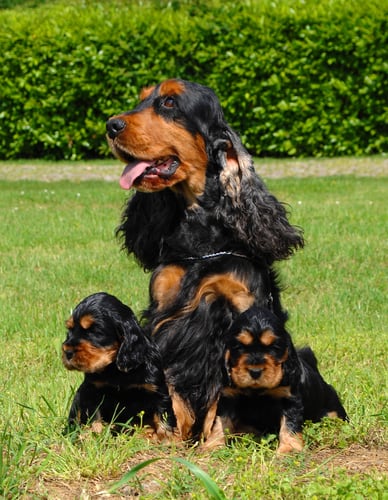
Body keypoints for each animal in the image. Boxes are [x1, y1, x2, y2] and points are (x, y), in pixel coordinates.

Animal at [61, 292, 176, 440]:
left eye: (95, 332)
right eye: (70, 330)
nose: (67, 352)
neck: (115, 369)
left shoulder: (157, 389)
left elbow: (163, 416)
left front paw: (168, 440)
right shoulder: (91, 390)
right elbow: (94, 417)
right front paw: (95, 436)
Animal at [218, 306, 348, 456]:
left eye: (274, 348)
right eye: (239, 347)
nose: (255, 371)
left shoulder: (289, 398)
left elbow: (289, 423)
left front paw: (289, 449)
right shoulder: (227, 397)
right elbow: (220, 422)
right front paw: (214, 446)